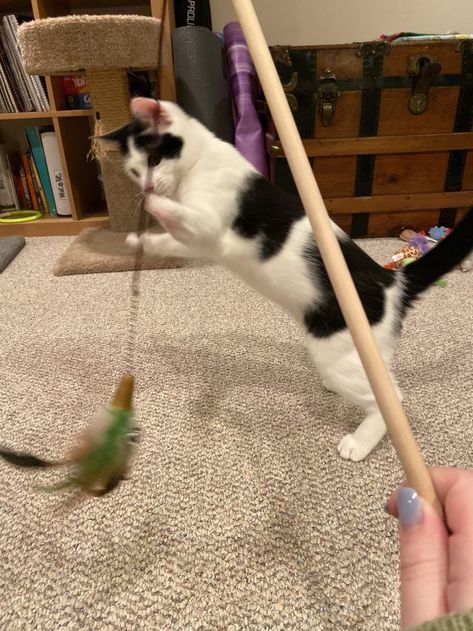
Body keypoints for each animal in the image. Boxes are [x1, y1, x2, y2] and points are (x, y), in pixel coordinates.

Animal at [102, 97, 472, 464]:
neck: (199, 160)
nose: (147, 186)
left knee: (392, 397)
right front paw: (139, 240)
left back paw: (360, 442)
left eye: (153, 159)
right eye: (134, 171)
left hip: (336, 353)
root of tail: (390, 281)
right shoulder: (198, 242)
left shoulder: (206, 224)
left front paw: (153, 205)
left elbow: (179, 216)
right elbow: (170, 240)